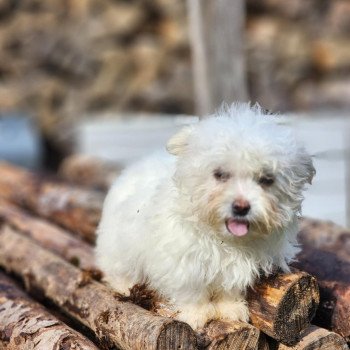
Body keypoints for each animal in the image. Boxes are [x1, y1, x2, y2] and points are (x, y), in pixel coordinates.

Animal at [95, 102, 314, 330]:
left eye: (266, 179)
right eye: (220, 174)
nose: (241, 207)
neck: (226, 240)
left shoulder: (236, 268)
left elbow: (229, 288)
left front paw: (231, 309)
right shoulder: (183, 263)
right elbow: (192, 291)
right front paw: (196, 314)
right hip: (118, 246)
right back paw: (124, 285)